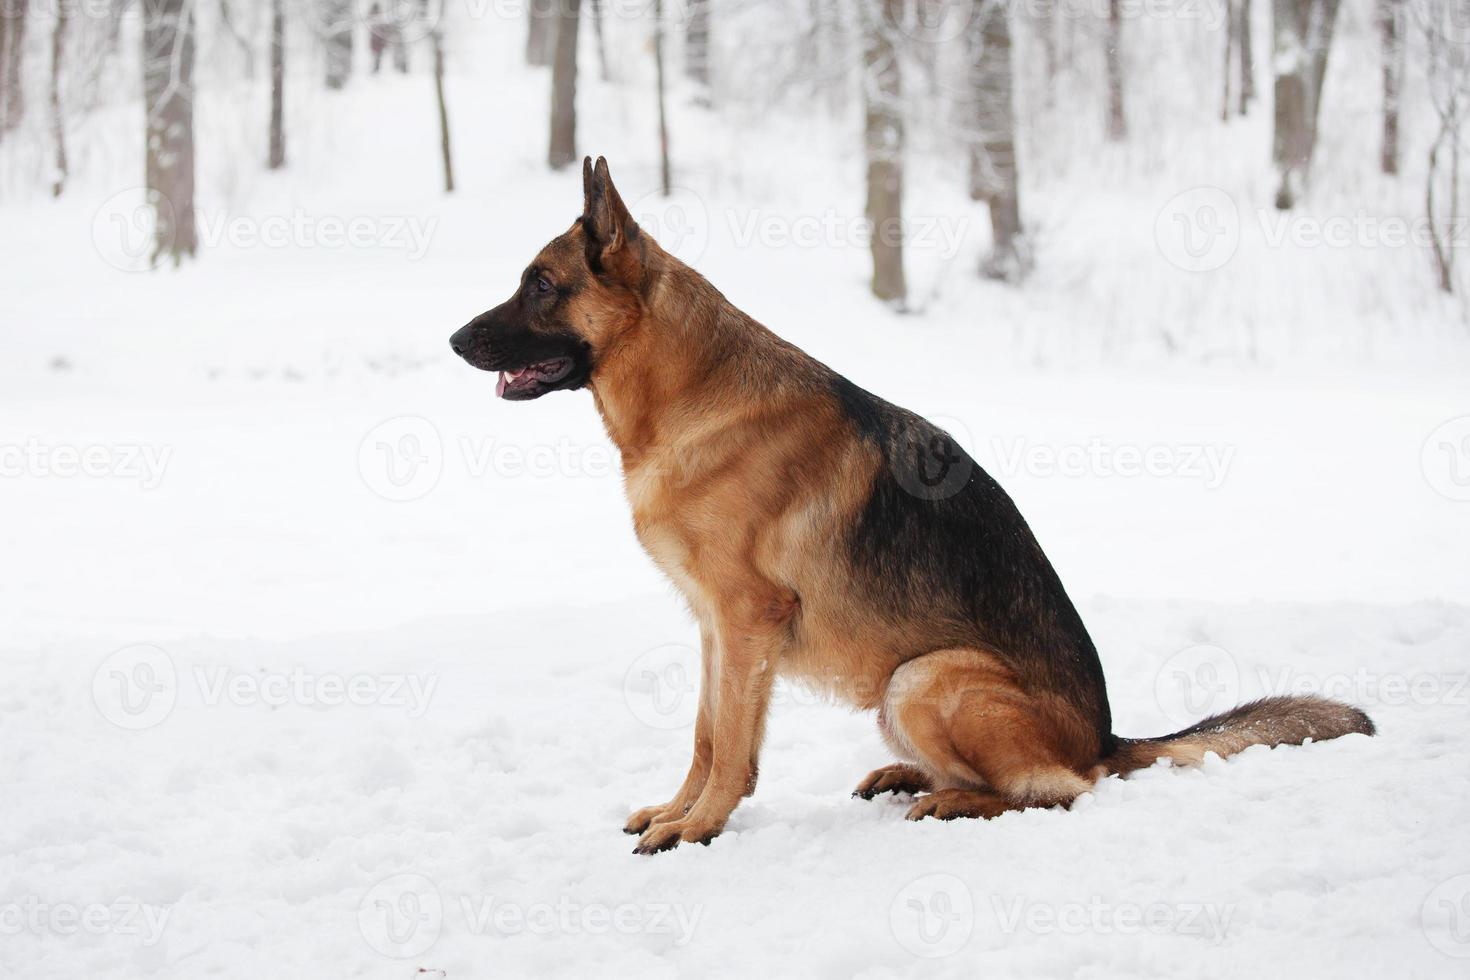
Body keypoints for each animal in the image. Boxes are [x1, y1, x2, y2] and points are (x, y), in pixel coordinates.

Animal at [449, 157, 1375, 852]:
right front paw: (679, 811)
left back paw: (952, 801)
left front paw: (699, 827)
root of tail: (1107, 738)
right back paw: (911, 778)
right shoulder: (713, 625)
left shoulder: (746, 620)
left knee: (1058, 788)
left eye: (541, 285)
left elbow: (733, 750)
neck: (689, 394)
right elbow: (707, 735)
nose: (455, 340)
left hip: (922, 678)